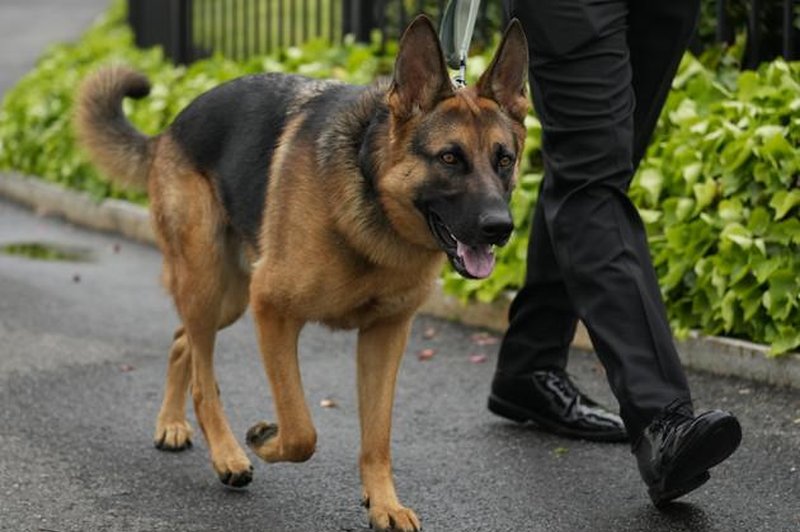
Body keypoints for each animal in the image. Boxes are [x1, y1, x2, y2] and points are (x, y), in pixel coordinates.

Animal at [73, 16, 524, 532]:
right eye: (450, 157)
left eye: (504, 159)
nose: (501, 228)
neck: (371, 193)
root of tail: (171, 127)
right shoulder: (273, 310)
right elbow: (301, 430)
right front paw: (264, 440)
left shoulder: (385, 335)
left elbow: (377, 436)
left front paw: (383, 503)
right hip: (212, 285)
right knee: (204, 381)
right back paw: (227, 454)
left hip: (230, 298)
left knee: (180, 340)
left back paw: (171, 423)